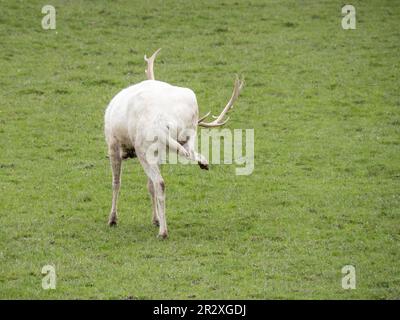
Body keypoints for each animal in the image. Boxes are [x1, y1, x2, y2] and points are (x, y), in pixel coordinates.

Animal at [103, 48, 244, 238]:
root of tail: (166, 121)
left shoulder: (113, 143)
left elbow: (116, 183)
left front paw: (112, 219)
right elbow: (148, 186)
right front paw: (155, 219)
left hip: (142, 147)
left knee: (160, 183)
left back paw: (163, 232)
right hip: (187, 126)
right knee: (188, 154)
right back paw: (204, 163)